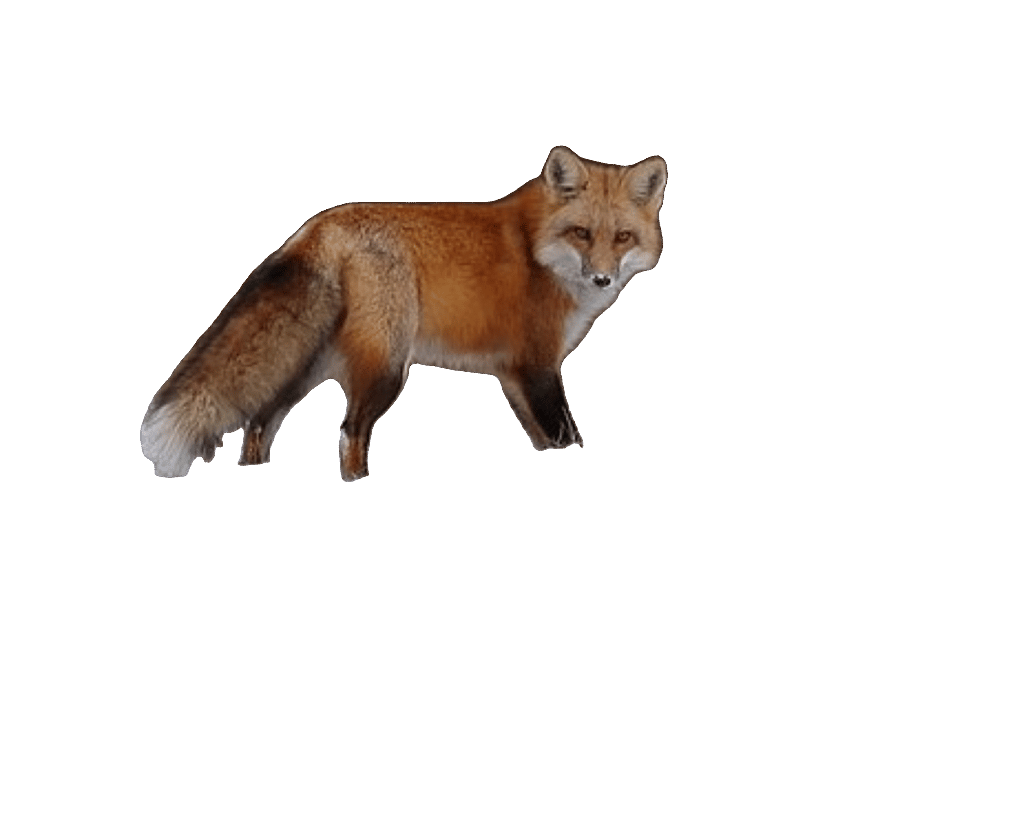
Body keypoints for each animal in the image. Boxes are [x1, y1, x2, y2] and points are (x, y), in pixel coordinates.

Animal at [140, 146, 667, 480]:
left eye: (623, 237)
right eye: (581, 234)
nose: (602, 280)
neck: (540, 249)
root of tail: (317, 226)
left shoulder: (514, 376)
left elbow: (547, 439)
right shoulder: (537, 366)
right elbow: (566, 437)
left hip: (304, 369)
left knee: (258, 421)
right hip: (387, 368)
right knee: (349, 432)